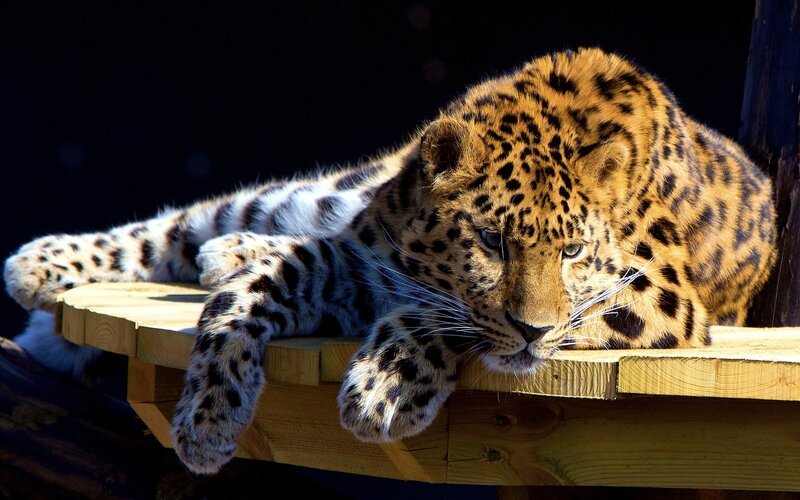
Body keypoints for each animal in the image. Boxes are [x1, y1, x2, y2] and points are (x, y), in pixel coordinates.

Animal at [4, 48, 777, 474]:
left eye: (573, 251)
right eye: (491, 242)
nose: (532, 334)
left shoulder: (660, 299)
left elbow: (444, 316)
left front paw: (384, 388)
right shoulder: (363, 263)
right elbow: (255, 292)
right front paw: (208, 416)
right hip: (310, 197)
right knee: (193, 221)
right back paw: (42, 265)